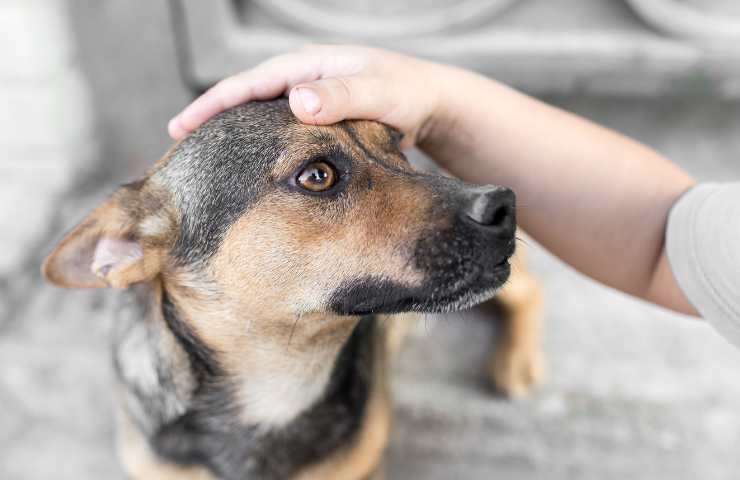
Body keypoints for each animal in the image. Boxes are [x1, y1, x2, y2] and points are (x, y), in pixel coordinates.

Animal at [42, 99, 544, 478]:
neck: (280, 384)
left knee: (531, 289)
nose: (504, 205)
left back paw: (518, 360)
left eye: (396, 145)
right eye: (317, 175)